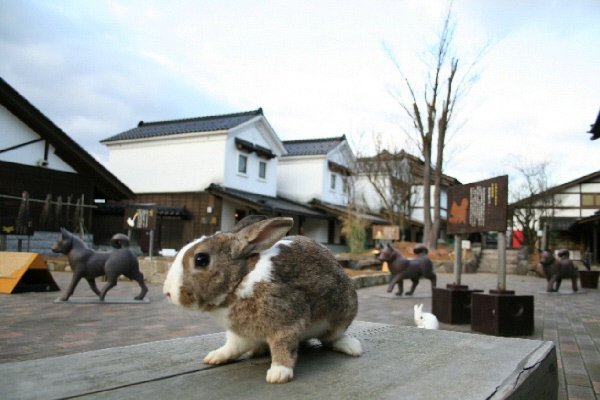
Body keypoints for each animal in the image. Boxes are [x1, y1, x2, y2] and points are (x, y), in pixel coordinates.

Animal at [162, 217, 360, 382]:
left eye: (201, 259)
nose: (167, 292)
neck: (241, 280)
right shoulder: (239, 333)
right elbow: (232, 347)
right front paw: (215, 356)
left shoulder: (287, 323)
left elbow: (283, 347)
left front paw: (278, 374)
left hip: (341, 316)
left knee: (332, 338)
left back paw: (352, 347)